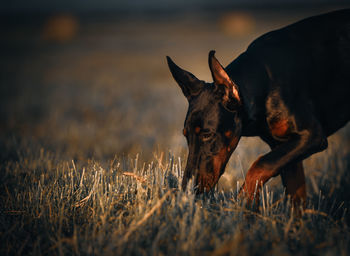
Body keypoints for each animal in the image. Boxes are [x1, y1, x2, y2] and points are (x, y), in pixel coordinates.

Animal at [167, 9, 350, 206]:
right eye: (186, 135)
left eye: (207, 134)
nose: (187, 190)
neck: (264, 82)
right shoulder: (284, 147)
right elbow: (295, 198)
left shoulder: (312, 135)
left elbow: (260, 165)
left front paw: (242, 202)